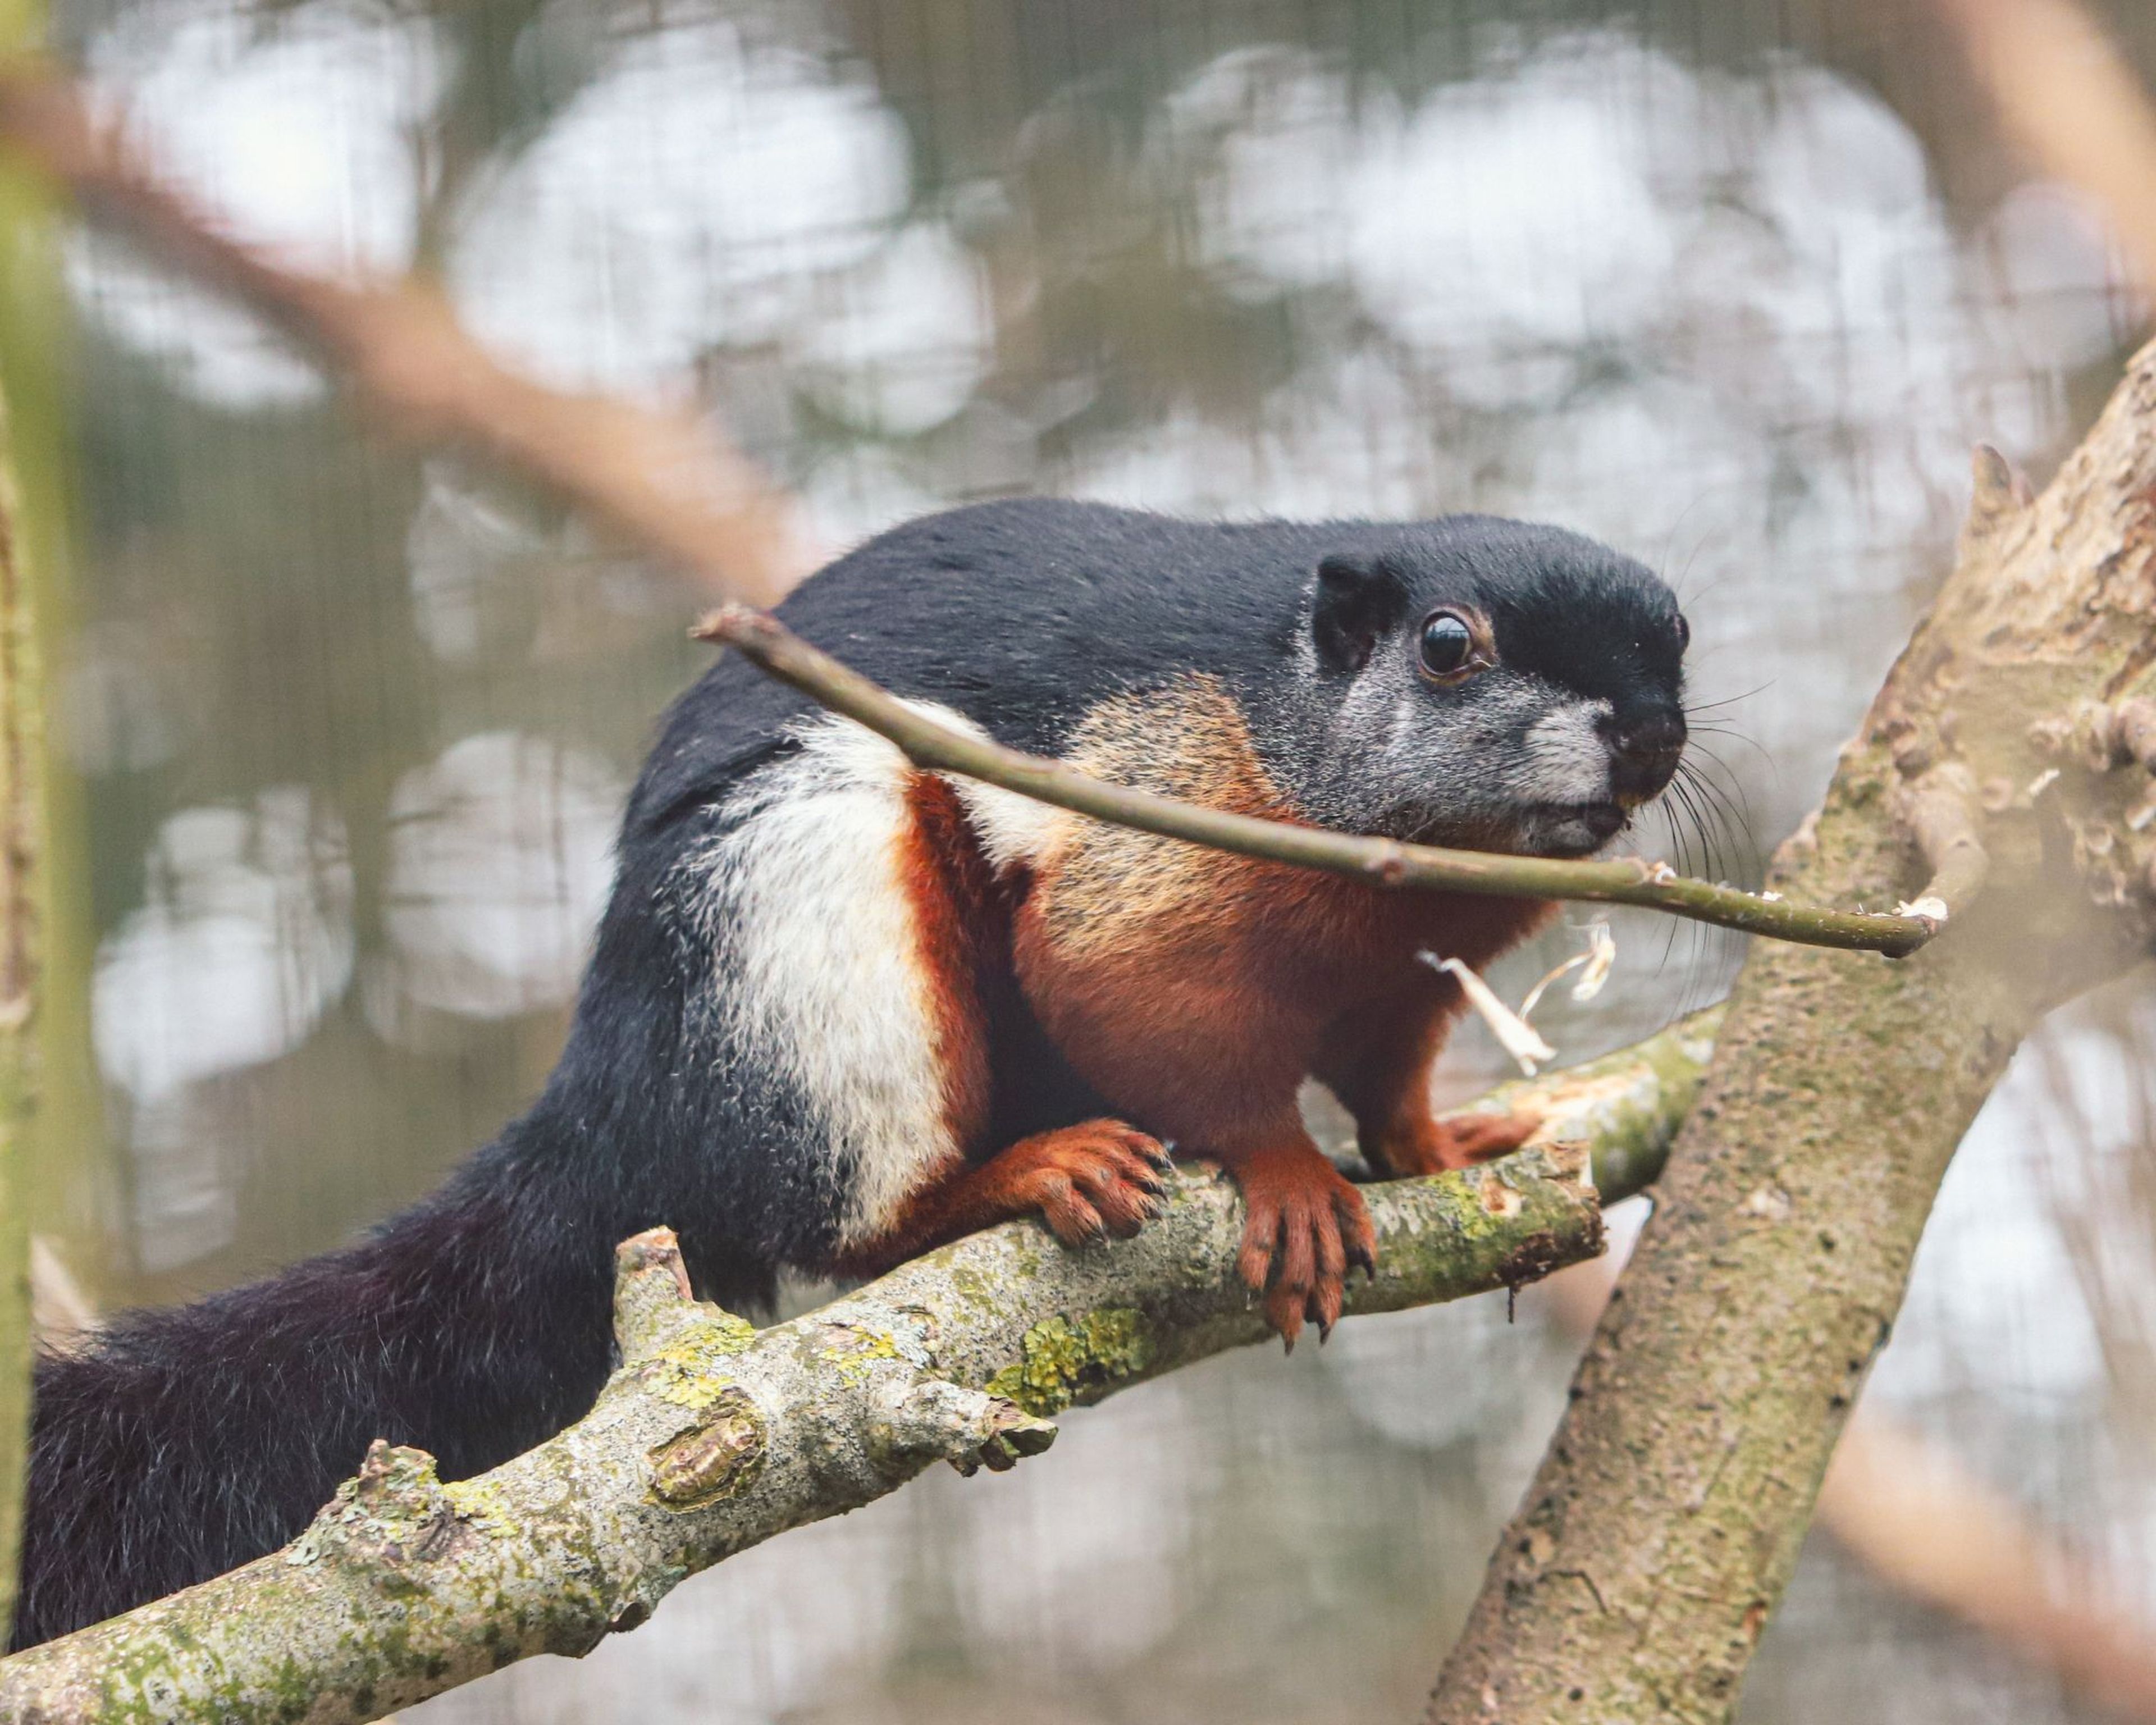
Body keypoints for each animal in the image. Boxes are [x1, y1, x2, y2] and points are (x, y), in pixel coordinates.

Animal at [12, 499, 1687, 1647]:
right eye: (1449, 648)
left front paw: (1446, 1144)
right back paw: (1014, 1177)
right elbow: (1154, 1017)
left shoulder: (1410, 975)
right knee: (853, 1224)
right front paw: (1283, 1180)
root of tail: (612, 1106)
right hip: (807, 927)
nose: (1647, 738)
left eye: (1678, 646)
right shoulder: (1141, 843)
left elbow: (1390, 1074)